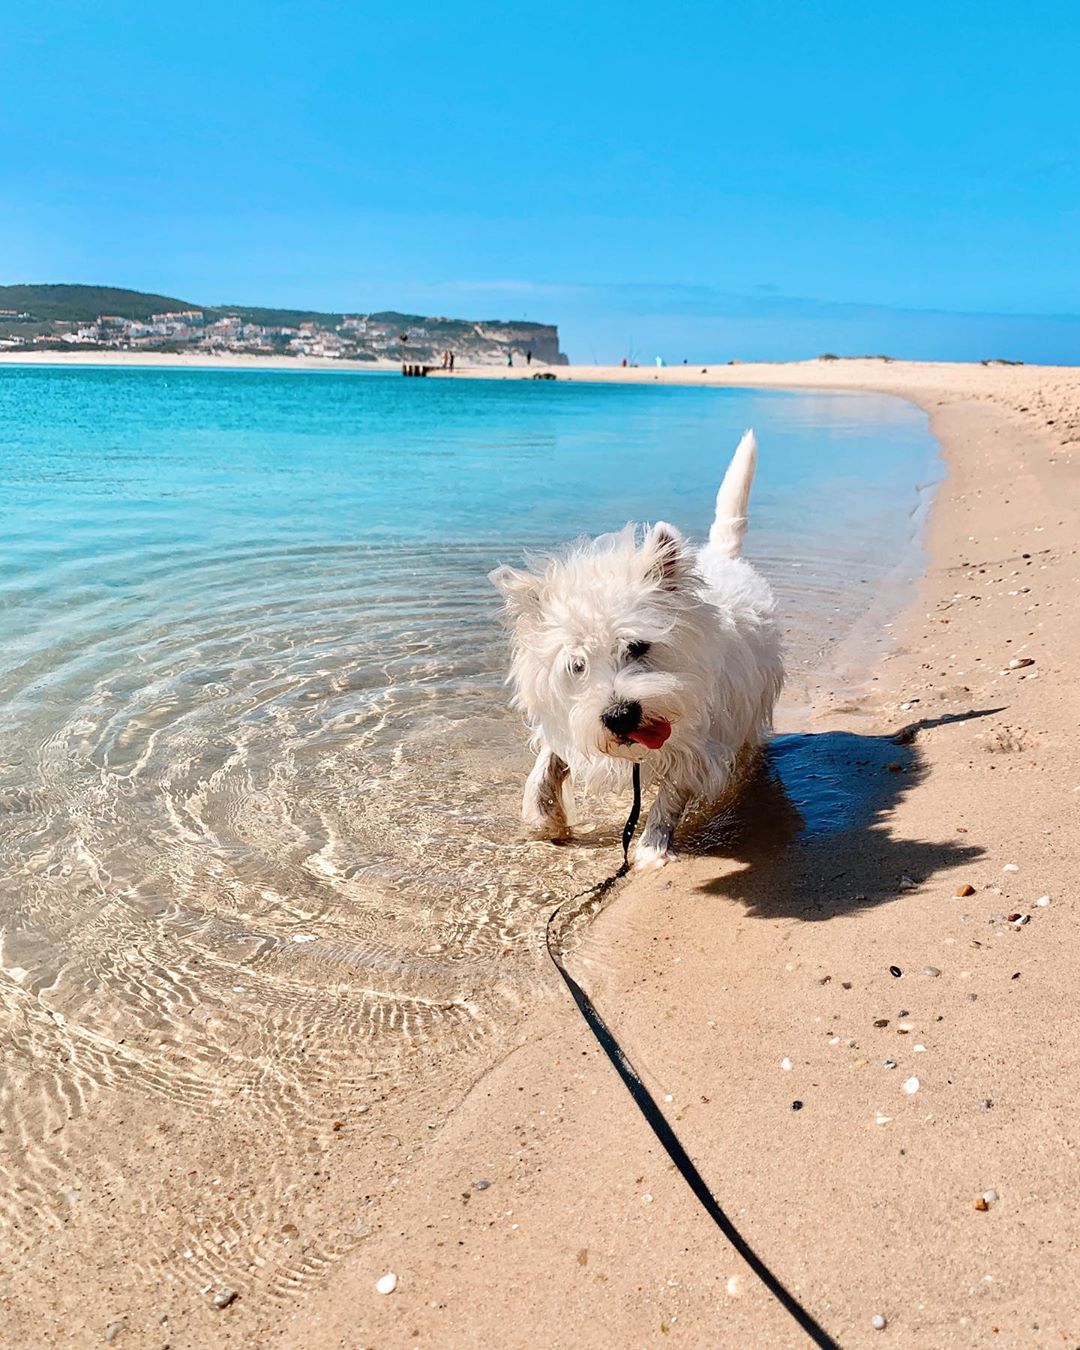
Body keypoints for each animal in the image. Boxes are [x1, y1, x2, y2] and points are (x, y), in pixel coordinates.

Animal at [491, 434, 783, 874]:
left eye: (637, 646)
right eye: (577, 665)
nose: (618, 715)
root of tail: (722, 556)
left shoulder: (695, 742)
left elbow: (670, 796)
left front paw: (651, 848)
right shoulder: (572, 719)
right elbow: (549, 759)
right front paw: (542, 816)